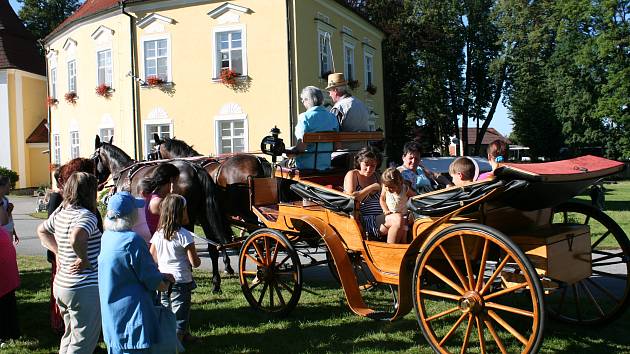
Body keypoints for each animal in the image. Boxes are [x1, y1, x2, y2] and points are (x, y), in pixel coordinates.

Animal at [91, 136, 232, 294]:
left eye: (93, 159)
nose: (96, 182)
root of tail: (195, 170)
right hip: (203, 216)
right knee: (213, 246)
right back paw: (216, 283)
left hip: (186, 218)